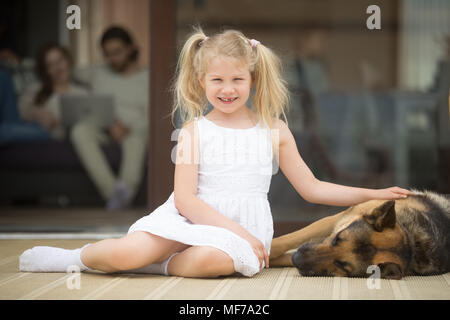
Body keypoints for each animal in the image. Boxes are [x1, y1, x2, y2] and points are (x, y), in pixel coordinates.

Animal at [268, 189, 448, 278]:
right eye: (337, 238)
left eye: (342, 266)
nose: (296, 258)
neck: (412, 243)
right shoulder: (339, 219)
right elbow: (290, 238)